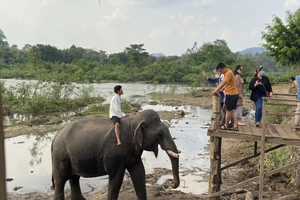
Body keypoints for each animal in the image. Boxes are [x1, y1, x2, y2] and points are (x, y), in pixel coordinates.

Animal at [51, 109, 180, 200]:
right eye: (160, 135)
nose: (171, 184)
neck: (134, 120)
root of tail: (56, 136)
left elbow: (139, 173)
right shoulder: (114, 152)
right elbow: (116, 178)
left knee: (74, 178)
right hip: (60, 156)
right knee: (61, 180)